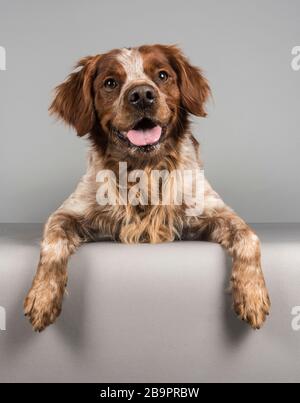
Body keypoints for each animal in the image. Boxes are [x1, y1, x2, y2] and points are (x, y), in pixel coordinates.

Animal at [24, 45, 270, 332]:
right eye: (110, 83)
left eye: (162, 75)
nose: (142, 95)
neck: (145, 171)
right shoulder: (68, 212)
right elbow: (52, 243)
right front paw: (42, 298)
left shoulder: (214, 210)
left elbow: (249, 237)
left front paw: (253, 296)